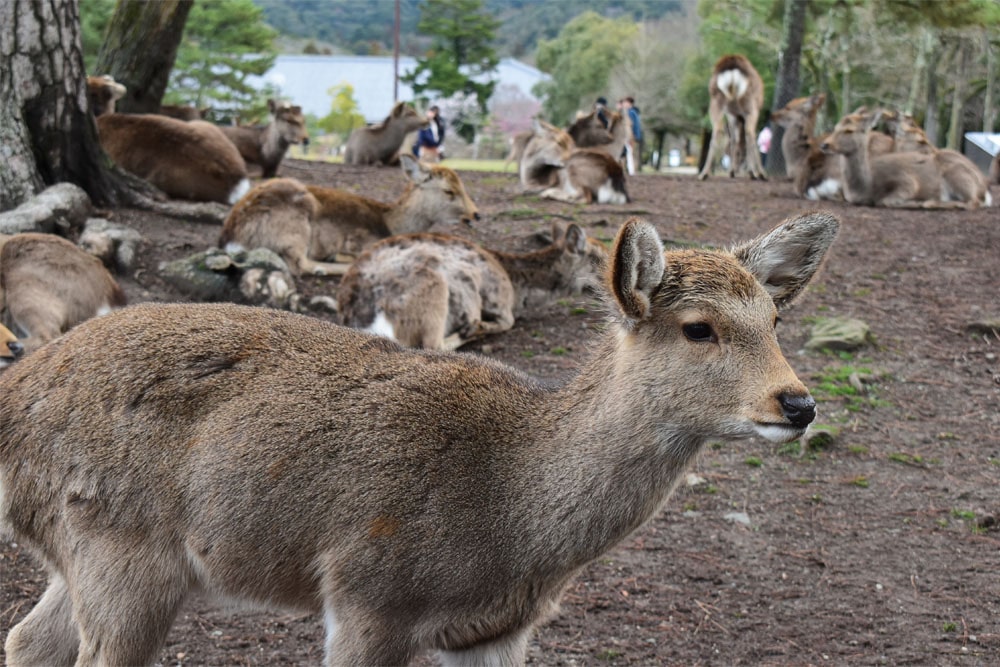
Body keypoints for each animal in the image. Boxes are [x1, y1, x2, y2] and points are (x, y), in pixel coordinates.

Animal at [218, 157, 480, 276]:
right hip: (295, 224)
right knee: (300, 264)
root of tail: (232, 237)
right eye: (449, 191)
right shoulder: (358, 239)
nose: (476, 214)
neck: (392, 224)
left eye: (463, 185)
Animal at [336, 223, 600, 352]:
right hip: (433, 285)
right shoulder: (498, 300)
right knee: (430, 345)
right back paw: (469, 330)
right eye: (598, 257)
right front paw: (475, 327)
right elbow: (508, 322)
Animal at [700, 53, 768, 181]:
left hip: (717, 102)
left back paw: (704, 174)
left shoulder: (731, 114)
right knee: (750, 134)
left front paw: (732, 172)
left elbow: (734, 139)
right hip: (750, 106)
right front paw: (752, 172)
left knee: (718, 131)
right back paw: (760, 174)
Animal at [824, 107, 988, 209]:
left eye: (849, 130)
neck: (865, 187)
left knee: (973, 202)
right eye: (835, 127)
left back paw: (931, 202)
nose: (824, 144)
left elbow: (886, 201)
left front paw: (915, 202)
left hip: (957, 175)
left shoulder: (907, 181)